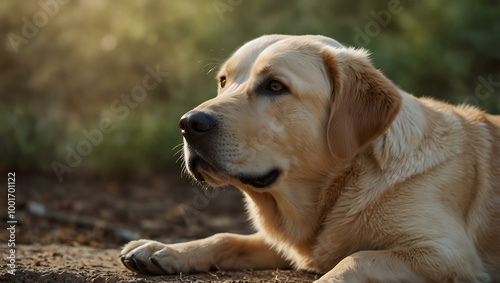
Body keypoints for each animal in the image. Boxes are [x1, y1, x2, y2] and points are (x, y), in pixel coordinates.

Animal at [121, 35, 500, 283]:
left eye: (275, 86)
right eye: (223, 81)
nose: (189, 124)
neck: (345, 182)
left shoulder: (447, 254)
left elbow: (356, 259)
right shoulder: (294, 243)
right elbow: (226, 237)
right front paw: (164, 249)